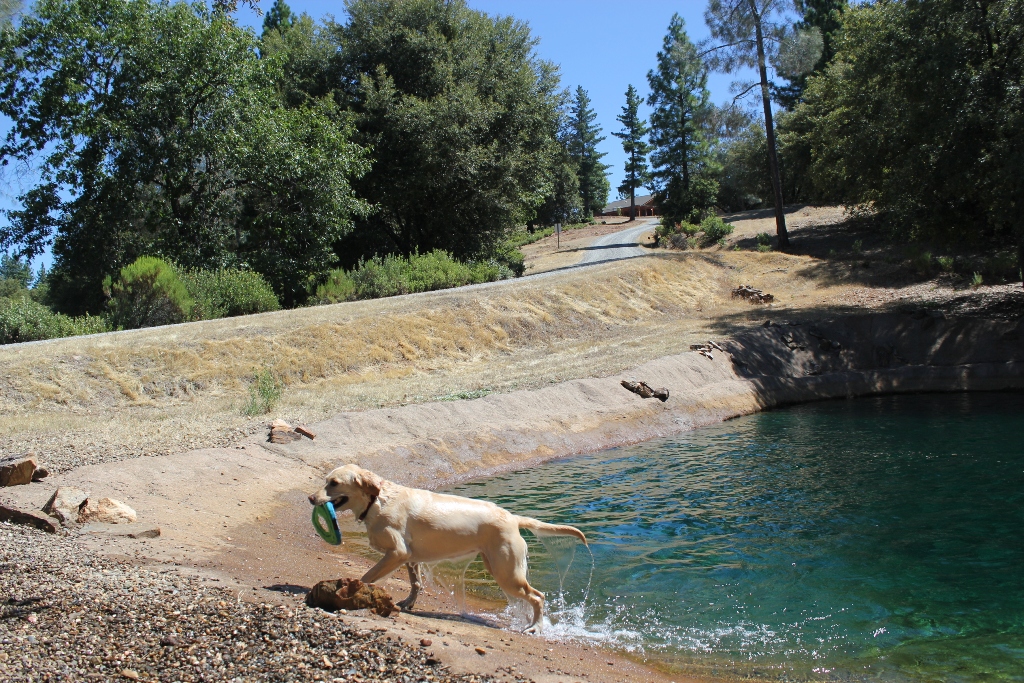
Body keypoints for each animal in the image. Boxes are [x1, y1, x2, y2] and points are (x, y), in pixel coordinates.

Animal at [305, 464, 585, 630]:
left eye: (334, 483)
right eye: (325, 480)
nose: (310, 497)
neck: (377, 500)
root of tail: (512, 517)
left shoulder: (397, 552)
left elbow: (367, 575)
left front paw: (352, 592)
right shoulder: (409, 557)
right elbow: (416, 583)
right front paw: (408, 602)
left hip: (508, 574)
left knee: (538, 596)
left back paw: (536, 627)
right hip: (500, 568)